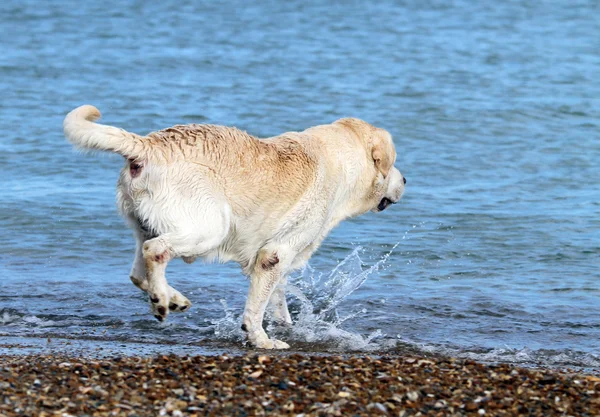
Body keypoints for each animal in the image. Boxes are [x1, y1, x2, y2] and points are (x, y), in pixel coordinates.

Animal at [63, 105, 406, 348]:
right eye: (392, 165)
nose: (404, 179)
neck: (342, 162)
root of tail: (148, 145)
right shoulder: (275, 254)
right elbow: (256, 309)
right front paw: (261, 339)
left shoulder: (280, 257)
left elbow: (276, 299)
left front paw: (286, 327)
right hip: (208, 227)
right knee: (155, 250)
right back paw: (161, 301)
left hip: (148, 224)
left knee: (138, 271)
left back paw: (171, 298)